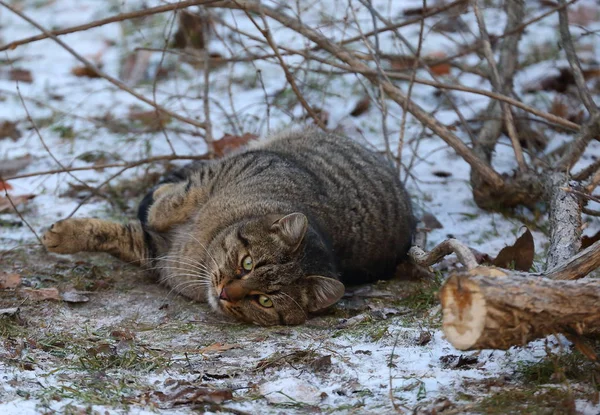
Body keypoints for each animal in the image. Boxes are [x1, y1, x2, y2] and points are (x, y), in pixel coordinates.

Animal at [42, 128, 414, 326]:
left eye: (264, 301)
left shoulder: (157, 254)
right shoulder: (239, 168)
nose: (224, 293)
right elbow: (177, 200)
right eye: (247, 262)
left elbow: (119, 234)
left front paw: (63, 236)